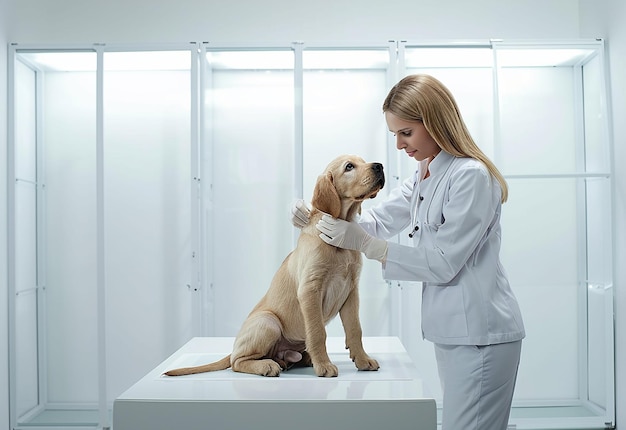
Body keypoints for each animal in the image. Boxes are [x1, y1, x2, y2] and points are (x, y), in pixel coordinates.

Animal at [163, 155, 382, 376]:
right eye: (349, 167)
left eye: (362, 161)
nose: (379, 166)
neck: (338, 244)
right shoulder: (310, 289)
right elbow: (318, 332)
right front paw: (324, 365)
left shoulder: (351, 291)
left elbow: (355, 329)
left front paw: (362, 360)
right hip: (269, 322)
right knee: (237, 362)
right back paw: (267, 365)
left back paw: (292, 360)